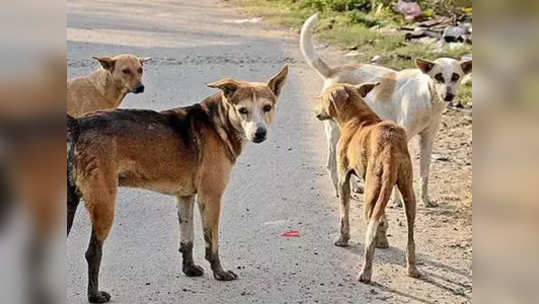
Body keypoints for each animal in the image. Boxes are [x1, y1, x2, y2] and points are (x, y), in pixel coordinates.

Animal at [67, 66, 288, 302]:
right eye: (242, 110)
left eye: (267, 108)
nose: (260, 133)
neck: (217, 123)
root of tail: (79, 124)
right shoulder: (210, 198)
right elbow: (212, 243)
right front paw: (219, 273)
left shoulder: (185, 197)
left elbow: (187, 239)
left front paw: (189, 269)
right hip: (104, 205)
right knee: (93, 252)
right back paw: (95, 295)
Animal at [300, 14, 472, 209]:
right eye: (438, 77)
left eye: (455, 77)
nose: (448, 96)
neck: (428, 97)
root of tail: (333, 71)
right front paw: (397, 201)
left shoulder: (427, 141)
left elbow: (424, 174)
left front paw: (425, 200)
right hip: (334, 132)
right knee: (331, 163)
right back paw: (340, 190)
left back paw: (355, 186)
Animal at [314, 82, 424, 282]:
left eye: (323, 98)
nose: (316, 112)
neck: (357, 118)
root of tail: (390, 146)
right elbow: (383, 219)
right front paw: (384, 240)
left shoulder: (343, 178)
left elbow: (344, 215)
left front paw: (343, 239)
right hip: (407, 193)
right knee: (410, 237)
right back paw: (412, 268)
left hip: (370, 194)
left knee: (369, 236)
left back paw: (366, 272)